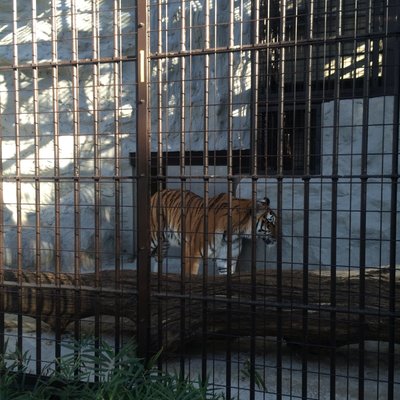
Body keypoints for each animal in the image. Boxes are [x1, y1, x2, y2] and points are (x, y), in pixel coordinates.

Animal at [150, 189, 278, 276]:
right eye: (270, 221)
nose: (278, 237)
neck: (235, 232)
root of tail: (157, 192)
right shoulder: (192, 253)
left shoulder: (225, 260)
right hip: (153, 238)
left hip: (164, 244)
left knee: (157, 259)